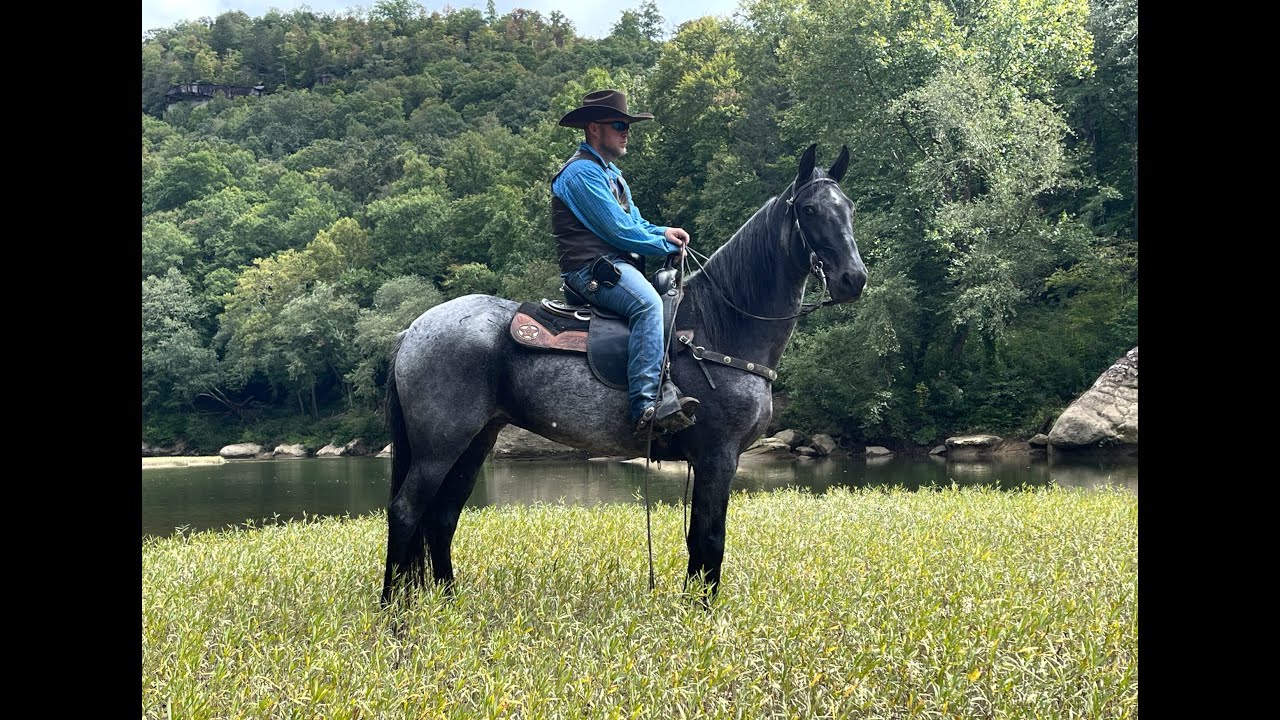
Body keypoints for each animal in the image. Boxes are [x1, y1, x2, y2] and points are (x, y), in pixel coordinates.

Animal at [381, 144, 867, 604]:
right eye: (809, 210)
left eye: (849, 208)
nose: (853, 279)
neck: (722, 325)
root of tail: (413, 330)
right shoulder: (718, 455)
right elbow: (710, 540)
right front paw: (703, 614)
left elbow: (698, 541)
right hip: (439, 448)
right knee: (405, 511)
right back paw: (393, 612)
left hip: (477, 441)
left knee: (442, 518)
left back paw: (448, 605)